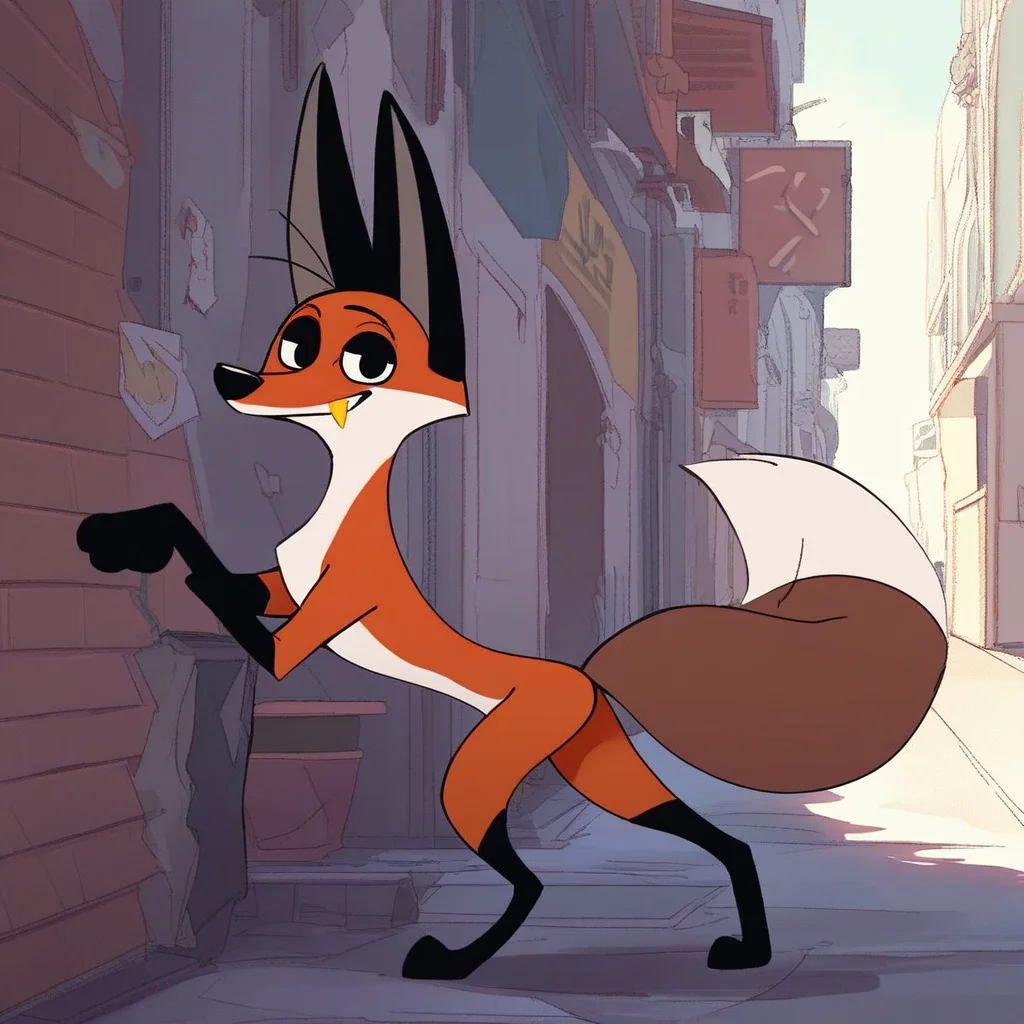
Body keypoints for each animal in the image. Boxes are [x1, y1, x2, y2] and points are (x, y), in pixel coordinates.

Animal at [77, 64, 948, 982]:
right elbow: (212, 550)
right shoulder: (280, 589)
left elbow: (209, 560)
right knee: (679, 849)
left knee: (541, 877)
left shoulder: (306, 626)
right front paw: (121, 533)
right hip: (591, 765)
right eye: (291, 338)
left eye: (354, 355)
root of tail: (588, 676)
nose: (231, 380)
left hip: (479, 778)